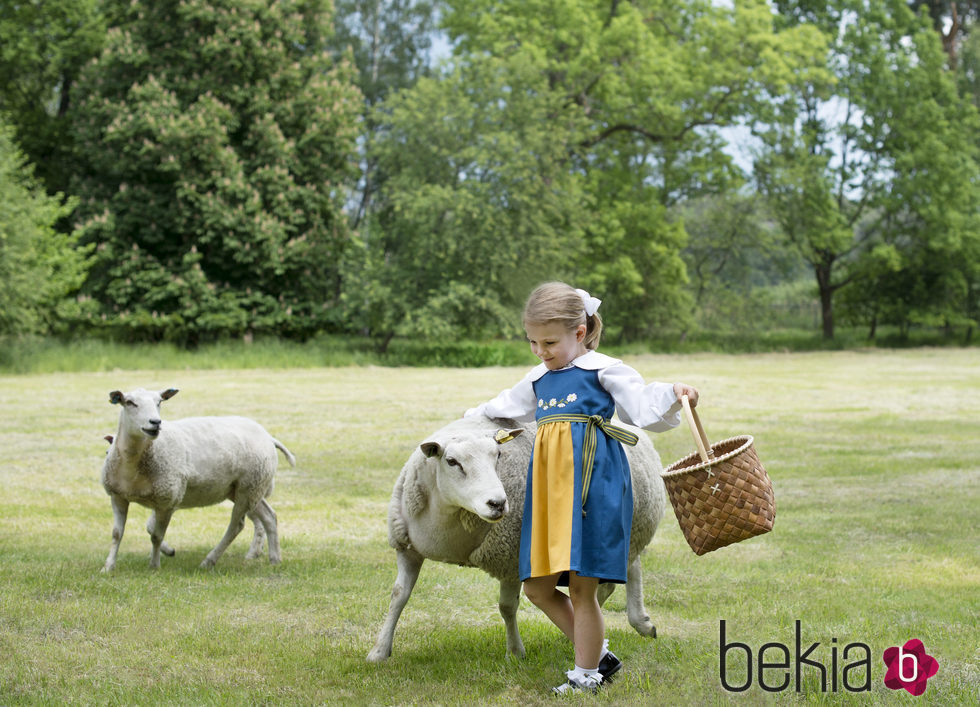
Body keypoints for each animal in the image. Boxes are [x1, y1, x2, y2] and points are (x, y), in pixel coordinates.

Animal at [104, 390, 294, 572]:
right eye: (130, 402)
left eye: (159, 402)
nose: (155, 422)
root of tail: (268, 436)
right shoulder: (118, 496)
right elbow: (117, 533)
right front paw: (108, 566)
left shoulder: (168, 500)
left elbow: (156, 535)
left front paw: (154, 565)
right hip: (248, 489)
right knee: (269, 516)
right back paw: (275, 559)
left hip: (249, 488)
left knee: (236, 525)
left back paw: (209, 561)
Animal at [368, 414, 668, 664]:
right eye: (452, 461)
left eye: (498, 455)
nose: (498, 503)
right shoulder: (407, 549)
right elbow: (398, 596)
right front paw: (379, 651)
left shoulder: (510, 559)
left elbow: (507, 606)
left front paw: (515, 652)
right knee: (617, 578)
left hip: (624, 532)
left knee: (625, 572)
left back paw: (633, 623)